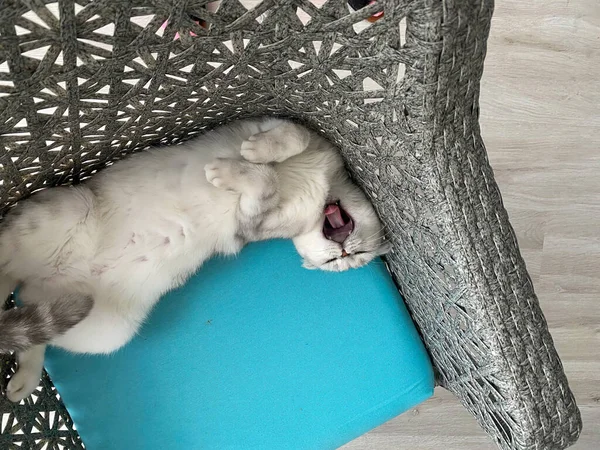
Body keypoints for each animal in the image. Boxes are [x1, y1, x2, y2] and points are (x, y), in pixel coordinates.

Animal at [0, 116, 390, 400]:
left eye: (351, 260)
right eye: (340, 262)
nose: (345, 254)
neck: (318, 190)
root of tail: (37, 279)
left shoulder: (252, 223)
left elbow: (266, 183)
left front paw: (233, 170)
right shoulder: (282, 128)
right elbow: (290, 142)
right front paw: (255, 153)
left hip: (107, 330)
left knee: (35, 329)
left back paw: (23, 380)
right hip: (67, 210)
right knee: (9, 268)